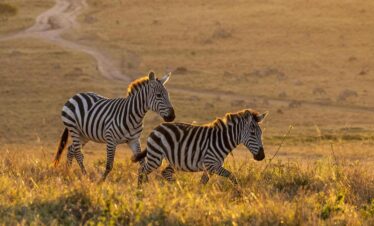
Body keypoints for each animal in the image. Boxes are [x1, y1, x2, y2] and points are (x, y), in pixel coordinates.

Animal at [133, 109, 268, 185]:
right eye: (252, 133)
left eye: (261, 133)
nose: (261, 156)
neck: (221, 140)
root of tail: (157, 127)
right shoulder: (211, 165)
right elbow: (233, 177)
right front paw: (240, 194)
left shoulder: (209, 168)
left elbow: (202, 184)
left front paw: (197, 198)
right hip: (155, 157)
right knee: (141, 171)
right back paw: (140, 192)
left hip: (174, 161)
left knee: (165, 173)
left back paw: (177, 188)